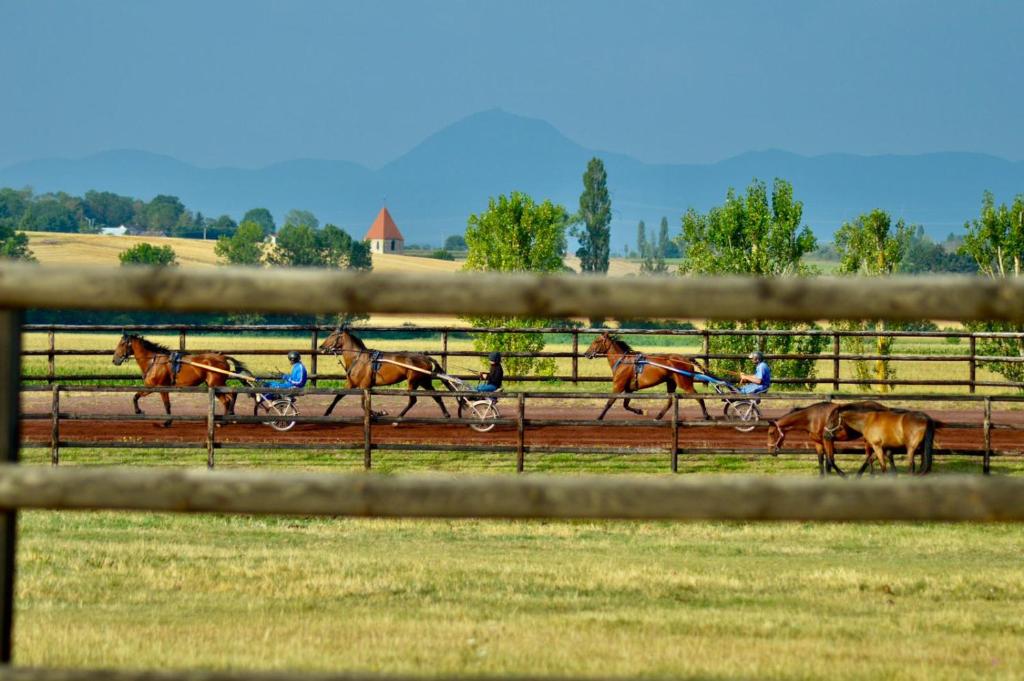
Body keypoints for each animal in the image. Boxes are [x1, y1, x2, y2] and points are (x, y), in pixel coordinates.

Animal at [112, 329, 247, 421]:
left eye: (122, 344)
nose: (114, 360)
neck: (154, 362)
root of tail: (223, 357)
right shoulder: (150, 387)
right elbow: (135, 396)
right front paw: (138, 410)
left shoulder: (161, 387)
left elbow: (166, 405)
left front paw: (166, 420)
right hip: (216, 383)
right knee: (231, 396)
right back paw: (229, 415)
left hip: (216, 383)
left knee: (228, 398)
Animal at [315, 327, 452, 419]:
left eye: (333, 334)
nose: (321, 347)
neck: (357, 358)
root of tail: (426, 358)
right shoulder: (351, 384)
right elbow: (338, 396)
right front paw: (326, 412)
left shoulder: (364, 385)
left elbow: (363, 405)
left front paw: (377, 413)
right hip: (424, 381)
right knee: (436, 396)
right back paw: (446, 414)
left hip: (413, 381)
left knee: (413, 400)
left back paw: (399, 416)